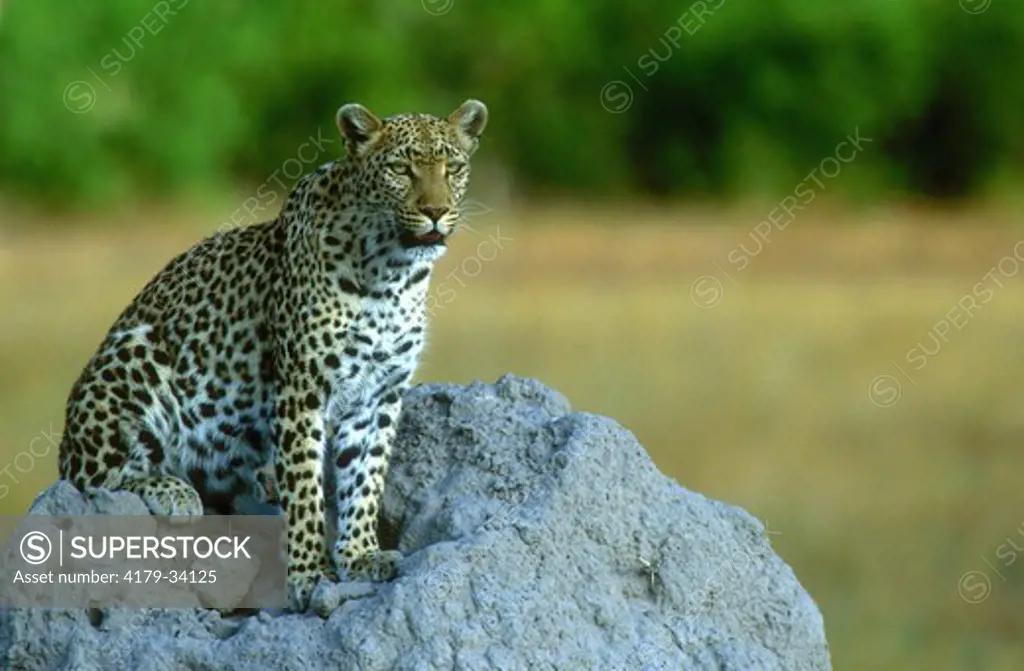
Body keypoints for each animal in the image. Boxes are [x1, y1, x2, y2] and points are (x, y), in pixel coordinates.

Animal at [56, 98, 487, 610]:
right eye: (401, 170)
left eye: (453, 168)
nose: (436, 211)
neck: (393, 275)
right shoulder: (302, 388)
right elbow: (305, 489)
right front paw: (310, 575)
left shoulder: (379, 394)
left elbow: (366, 477)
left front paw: (360, 554)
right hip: (136, 356)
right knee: (91, 479)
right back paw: (173, 492)